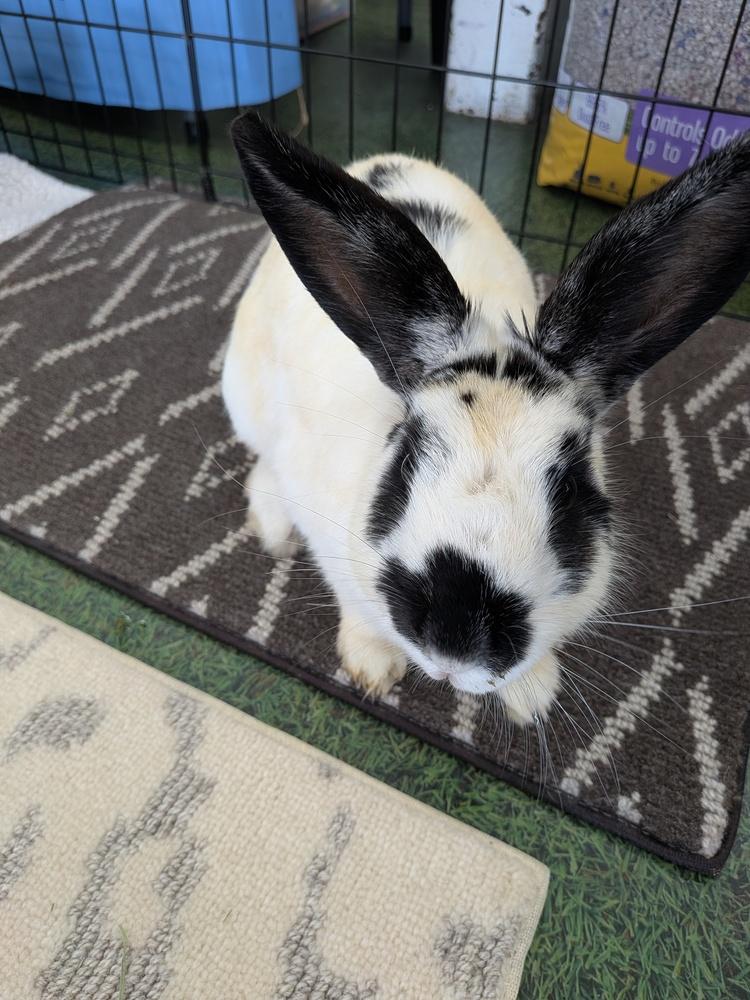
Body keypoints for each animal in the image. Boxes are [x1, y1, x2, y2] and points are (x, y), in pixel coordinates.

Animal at [223, 111, 750, 725]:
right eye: (407, 458)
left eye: (569, 487)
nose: (456, 641)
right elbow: (354, 604)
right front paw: (372, 667)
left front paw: (533, 696)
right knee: (262, 458)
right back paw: (273, 530)